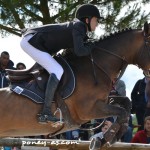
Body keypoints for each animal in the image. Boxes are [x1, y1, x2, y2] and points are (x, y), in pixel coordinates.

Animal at [0, 21, 150, 149]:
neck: (95, 67)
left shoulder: (103, 101)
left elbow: (126, 104)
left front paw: (109, 138)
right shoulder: (88, 110)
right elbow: (122, 112)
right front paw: (102, 139)